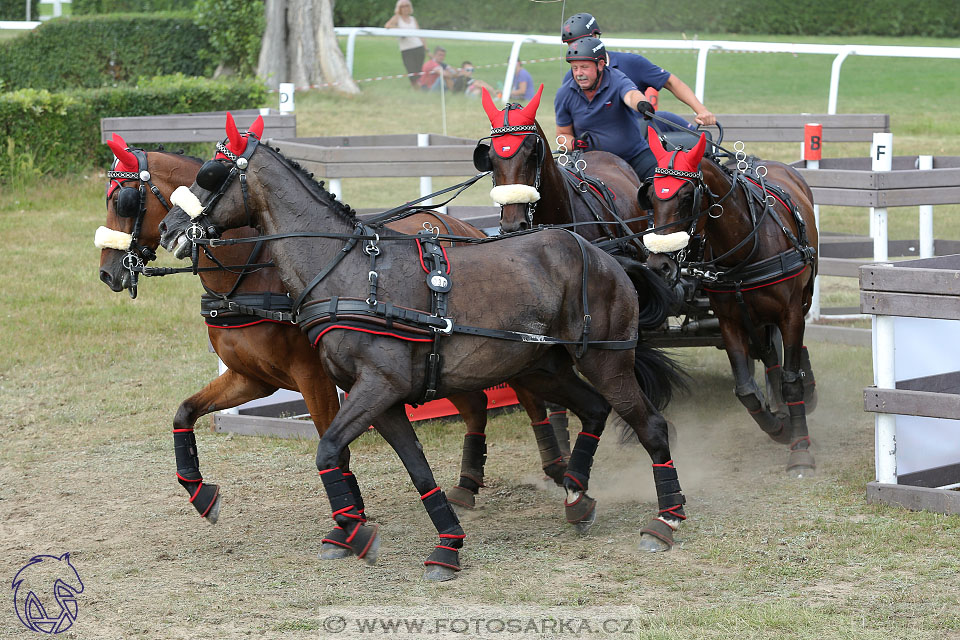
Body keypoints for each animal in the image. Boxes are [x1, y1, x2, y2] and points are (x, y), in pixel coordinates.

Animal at [95, 131, 568, 556]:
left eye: (124, 201)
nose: (107, 273)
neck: (254, 273)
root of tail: (466, 226)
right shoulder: (252, 378)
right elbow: (186, 412)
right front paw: (199, 492)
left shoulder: (314, 376)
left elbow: (331, 443)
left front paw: (349, 521)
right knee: (475, 405)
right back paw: (469, 484)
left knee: (530, 396)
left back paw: (558, 467)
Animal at [159, 115, 688, 580]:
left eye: (210, 174)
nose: (168, 229)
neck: (348, 273)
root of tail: (607, 256)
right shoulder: (382, 399)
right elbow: (418, 471)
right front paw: (445, 546)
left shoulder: (377, 387)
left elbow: (328, 450)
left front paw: (355, 533)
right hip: (543, 366)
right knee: (594, 409)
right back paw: (577, 494)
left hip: (606, 359)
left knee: (651, 425)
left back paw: (665, 519)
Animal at [636, 132, 816, 478]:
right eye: (650, 195)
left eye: (686, 196)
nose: (659, 265)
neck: (746, 245)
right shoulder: (730, 322)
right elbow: (745, 390)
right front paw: (778, 428)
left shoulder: (788, 315)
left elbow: (791, 381)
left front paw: (800, 450)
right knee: (768, 354)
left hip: (802, 298)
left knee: (792, 351)